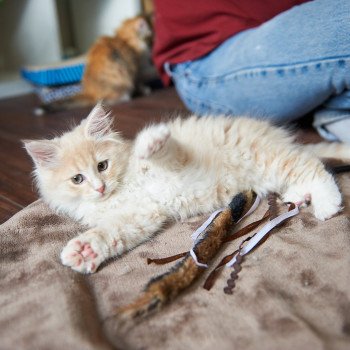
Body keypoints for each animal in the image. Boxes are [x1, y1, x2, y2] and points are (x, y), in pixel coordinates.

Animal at [23, 104, 348, 274]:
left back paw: (328, 204)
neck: (122, 187)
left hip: (268, 159)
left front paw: (151, 141)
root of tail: (277, 136)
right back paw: (301, 196)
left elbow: (160, 149)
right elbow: (110, 234)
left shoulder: (176, 159)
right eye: (78, 179)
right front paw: (85, 251)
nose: (100, 187)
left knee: (313, 166)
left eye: (102, 165)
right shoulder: (139, 216)